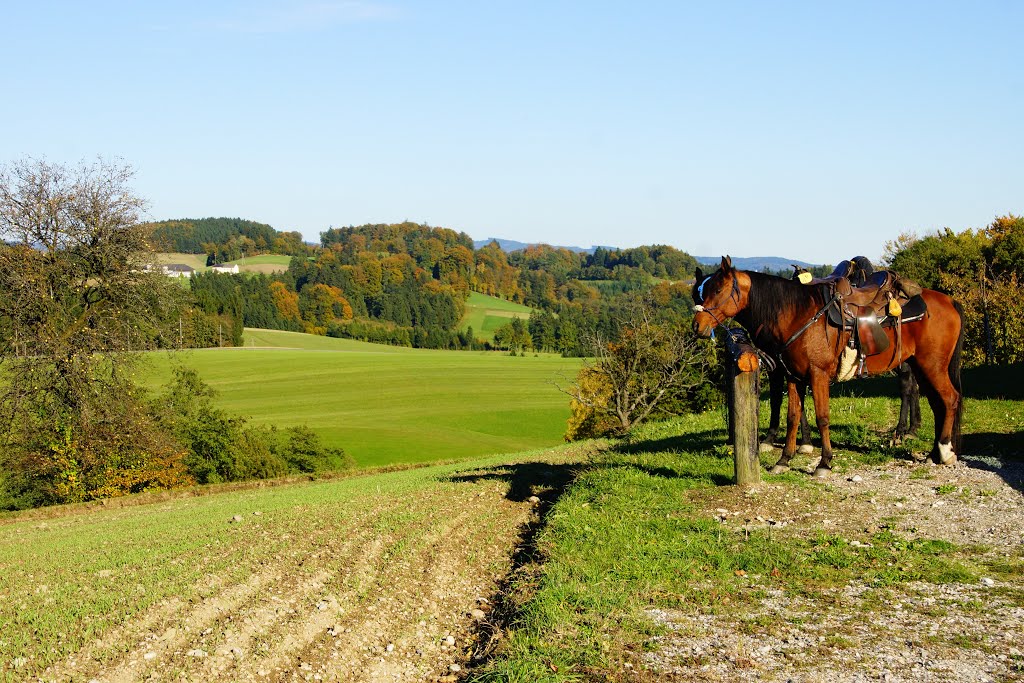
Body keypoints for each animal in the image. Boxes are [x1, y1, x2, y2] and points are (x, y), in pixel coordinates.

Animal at [692, 255, 962, 475]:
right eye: (699, 293)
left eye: (718, 289)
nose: (697, 325)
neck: (796, 315)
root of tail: (949, 301)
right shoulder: (793, 376)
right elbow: (792, 416)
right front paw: (784, 460)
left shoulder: (817, 375)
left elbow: (822, 417)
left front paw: (825, 462)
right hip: (920, 365)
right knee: (936, 403)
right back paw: (933, 453)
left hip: (932, 365)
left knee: (949, 399)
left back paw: (944, 451)